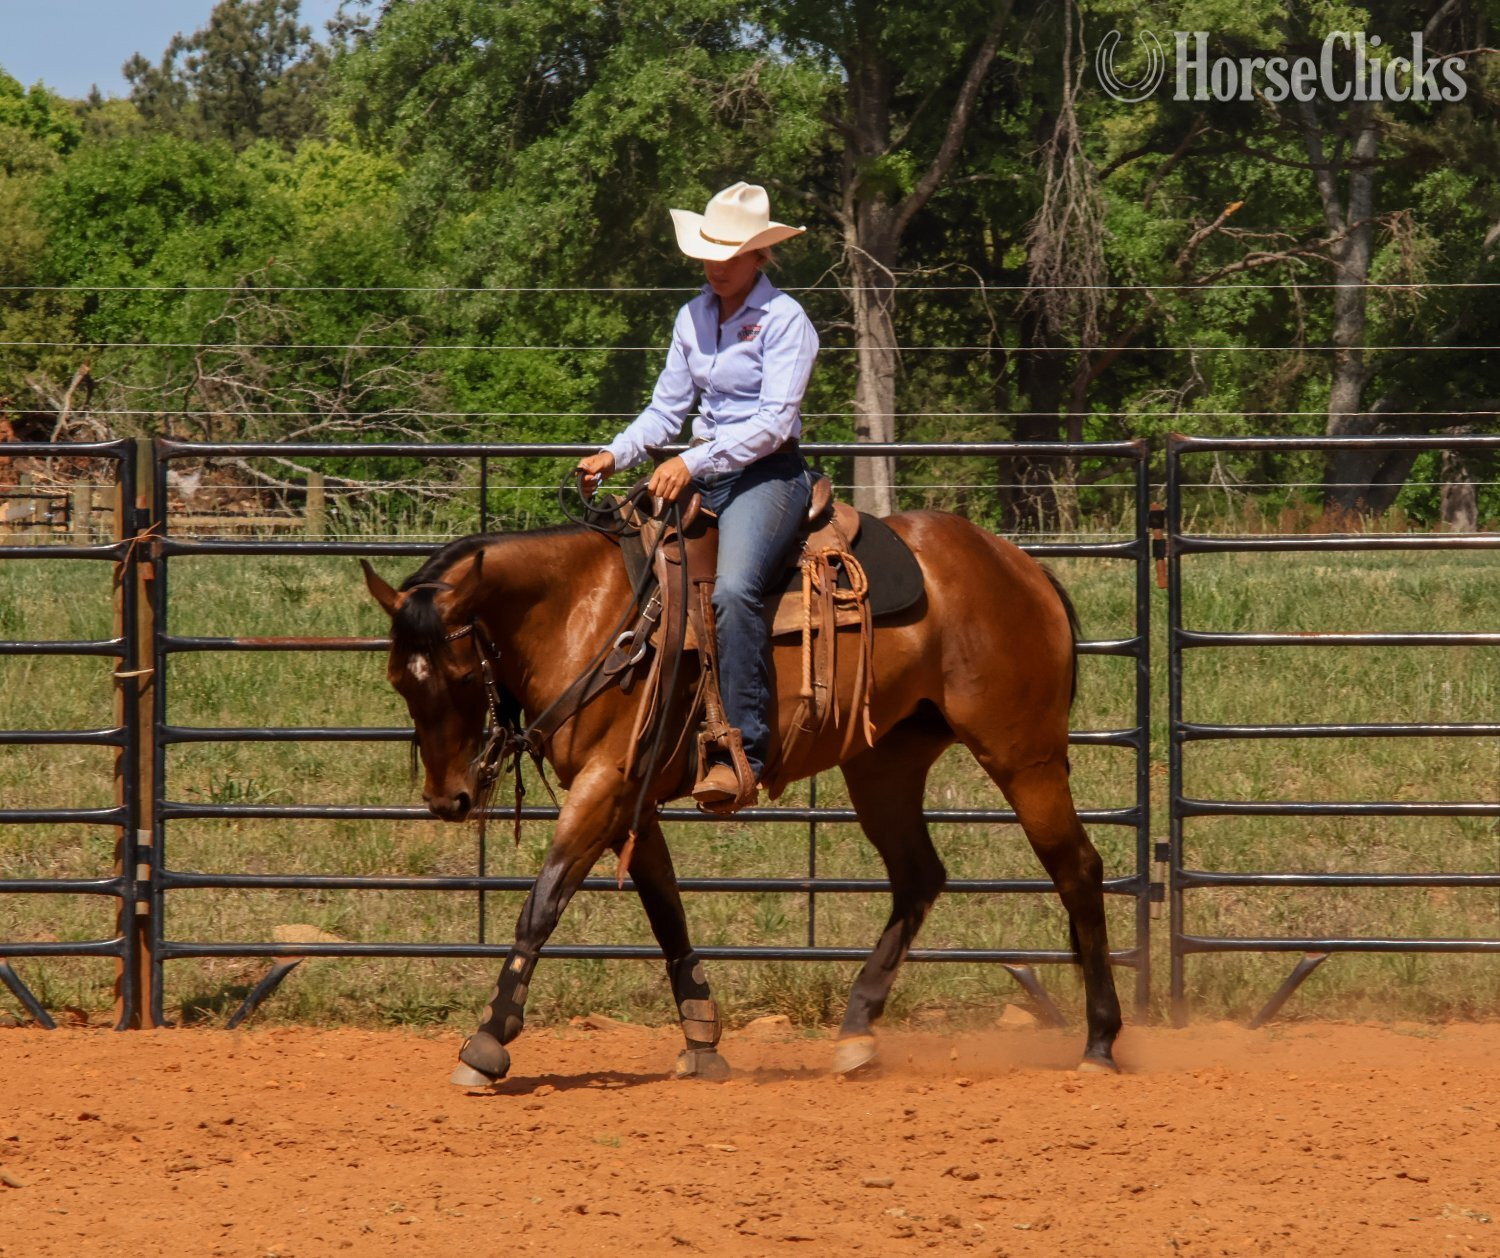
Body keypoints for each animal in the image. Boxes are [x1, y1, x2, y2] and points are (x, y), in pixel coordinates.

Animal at [361, 507, 1122, 1087]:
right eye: (398, 678)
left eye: (464, 675)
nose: (450, 800)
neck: (591, 614)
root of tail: (1021, 567)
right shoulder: (632, 800)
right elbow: (667, 913)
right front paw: (701, 1039)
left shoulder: (605, 787)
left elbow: (541, 906)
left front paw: (488, 1041)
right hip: (885, 764)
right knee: (919, 877)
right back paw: (856, 1032)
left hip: (1023, 756)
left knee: (1077, 871)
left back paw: (1101, 1043)